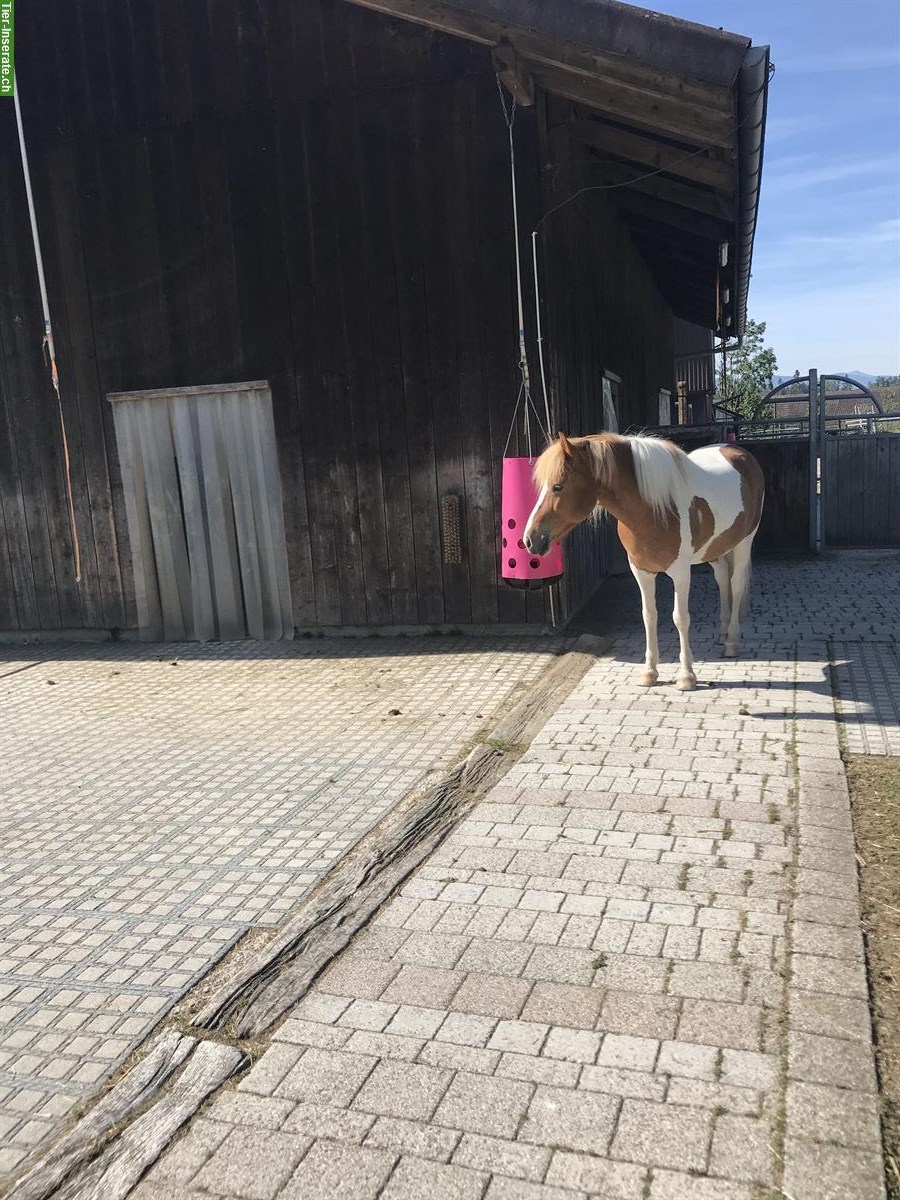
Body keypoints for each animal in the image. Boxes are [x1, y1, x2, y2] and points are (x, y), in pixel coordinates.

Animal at [528, 436, 768, 691]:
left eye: (557, 486)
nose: (530, 539)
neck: (653, 508)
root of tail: (740, 453)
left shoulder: (681, 573)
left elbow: (680, 618)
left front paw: (686, 676)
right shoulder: (641, 571)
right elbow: (649, 616)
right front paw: (650, 672)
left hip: (744, 542)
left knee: (736, 584)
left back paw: (731, 642)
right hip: (716, 548)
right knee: (722, 579)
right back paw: (722, 635)